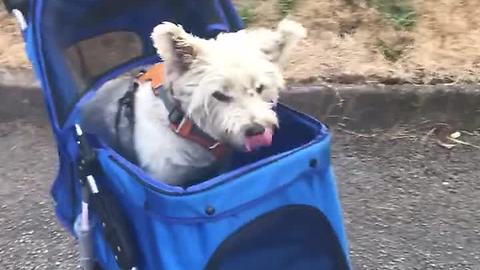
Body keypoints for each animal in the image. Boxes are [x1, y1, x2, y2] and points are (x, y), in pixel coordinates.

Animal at [80, 20, 306, 187]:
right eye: (219, 95)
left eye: (259, 88)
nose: (257, 131)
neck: (184, 124)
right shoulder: (164, 177)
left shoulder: (220, 167)